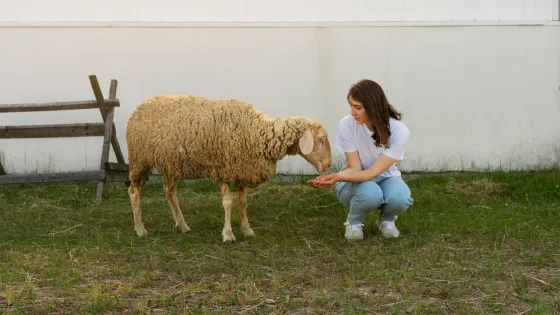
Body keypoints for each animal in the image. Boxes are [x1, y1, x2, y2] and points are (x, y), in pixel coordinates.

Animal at [124, 95, 332, 243]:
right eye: (321, 139)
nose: (329, 165)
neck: (259, 133)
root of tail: (140, 106)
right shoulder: (223, 169)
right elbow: (227, 202)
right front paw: (229, 234)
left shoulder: (242, 170)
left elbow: (243, 202)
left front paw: (247, 229)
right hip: (140, 160)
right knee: (134, 192)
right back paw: (140, 229)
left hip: (170, 163)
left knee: (169, 192)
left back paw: (182, 226)